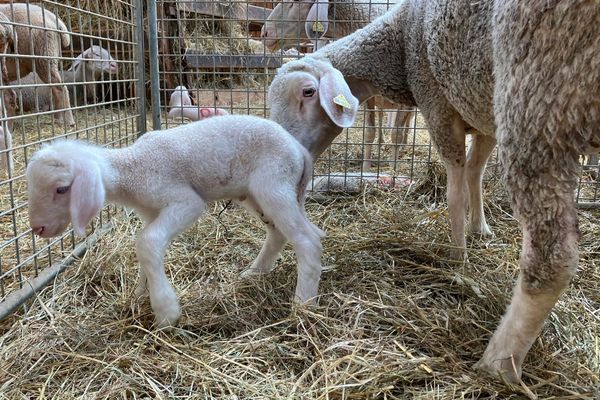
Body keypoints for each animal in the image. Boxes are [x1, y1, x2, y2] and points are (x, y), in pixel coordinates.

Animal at [24, 115, 324, 328]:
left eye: (62, 189)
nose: (38, 229)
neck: (132, 169)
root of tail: (299, 149)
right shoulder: (151, 213)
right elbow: (147, 250)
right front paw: (140, 293)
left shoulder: (184, 202)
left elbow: (146, 242)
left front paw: (166, 311)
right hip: (258, 193)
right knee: (281, 233)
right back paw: (255, 272)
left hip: (274, 183)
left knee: (307, 240)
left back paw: (304, 303)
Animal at [268, 0, 600, 382]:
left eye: (307, 92)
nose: (284, 153)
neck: (398, 43)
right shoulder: (482, 113)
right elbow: (474, 173)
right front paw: (478, 228)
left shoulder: (438, 102)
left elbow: (455, 191)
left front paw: (458, 258)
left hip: (541, 93)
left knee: (553, 257)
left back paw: (497, 363)